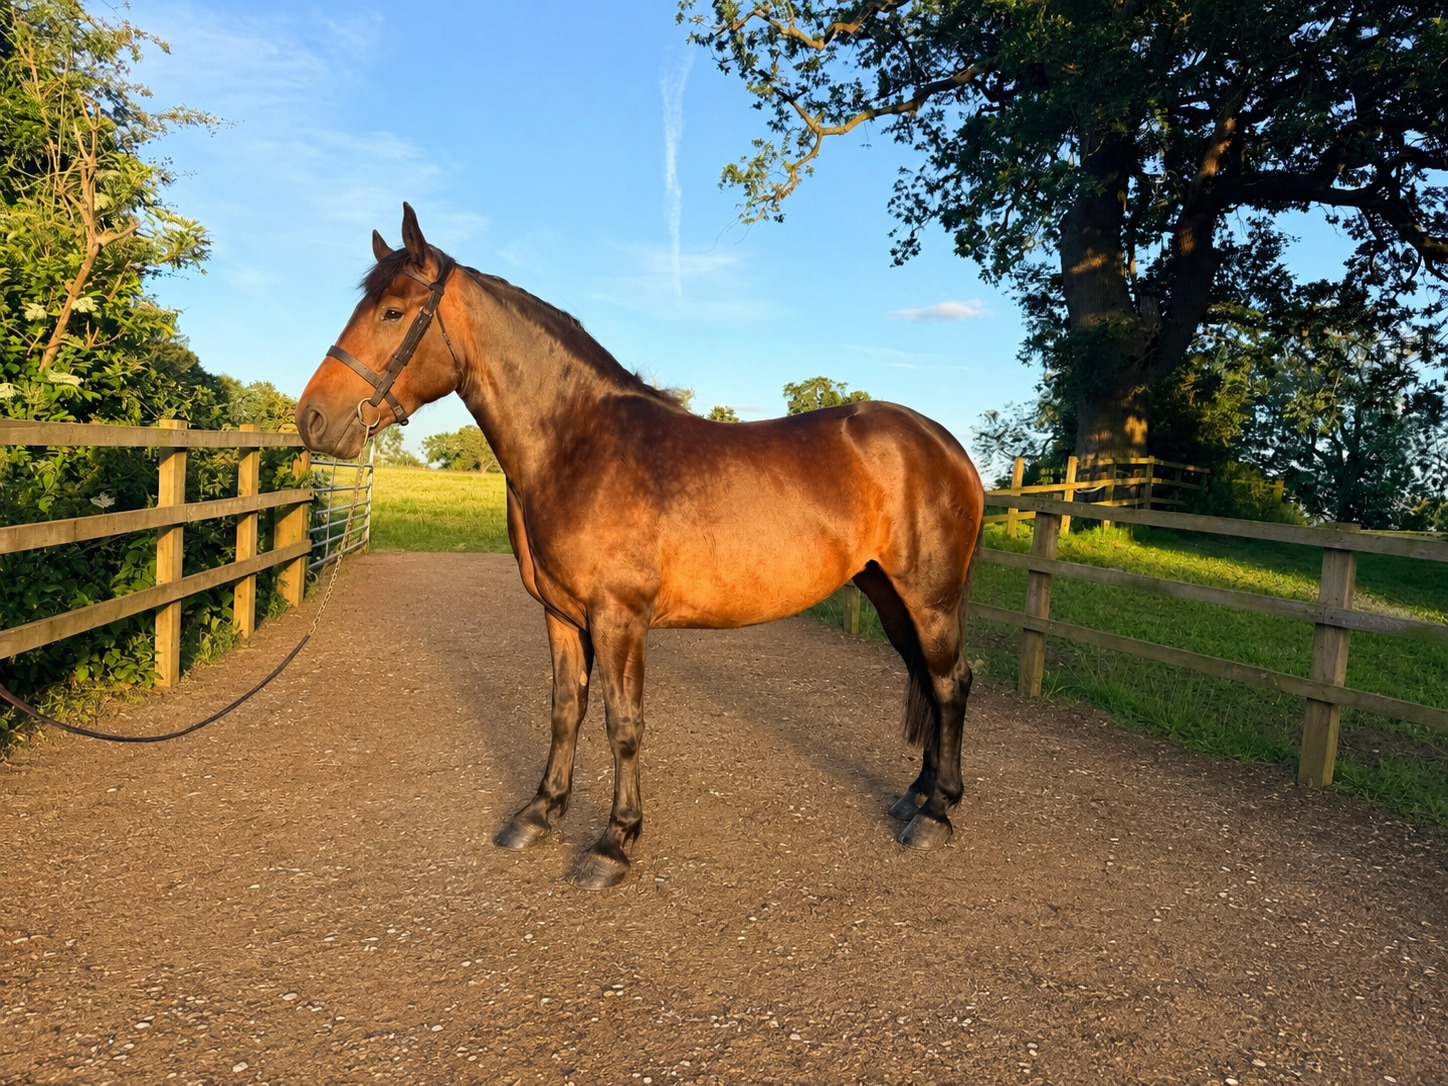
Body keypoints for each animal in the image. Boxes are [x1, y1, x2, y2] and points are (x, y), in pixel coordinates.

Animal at [297, 204, 986, 890]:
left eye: (392, 311)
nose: (312, 419)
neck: (578, 443)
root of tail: (944, 443)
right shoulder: (561, 616)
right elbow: (564, 709)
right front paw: (539, 813)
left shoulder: (619, 618)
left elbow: (622, 725)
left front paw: (614, 842)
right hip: (888, 594)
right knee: (926, 677)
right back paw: (916, 795)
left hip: (929, 598)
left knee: (950, 681)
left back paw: (936, 813)